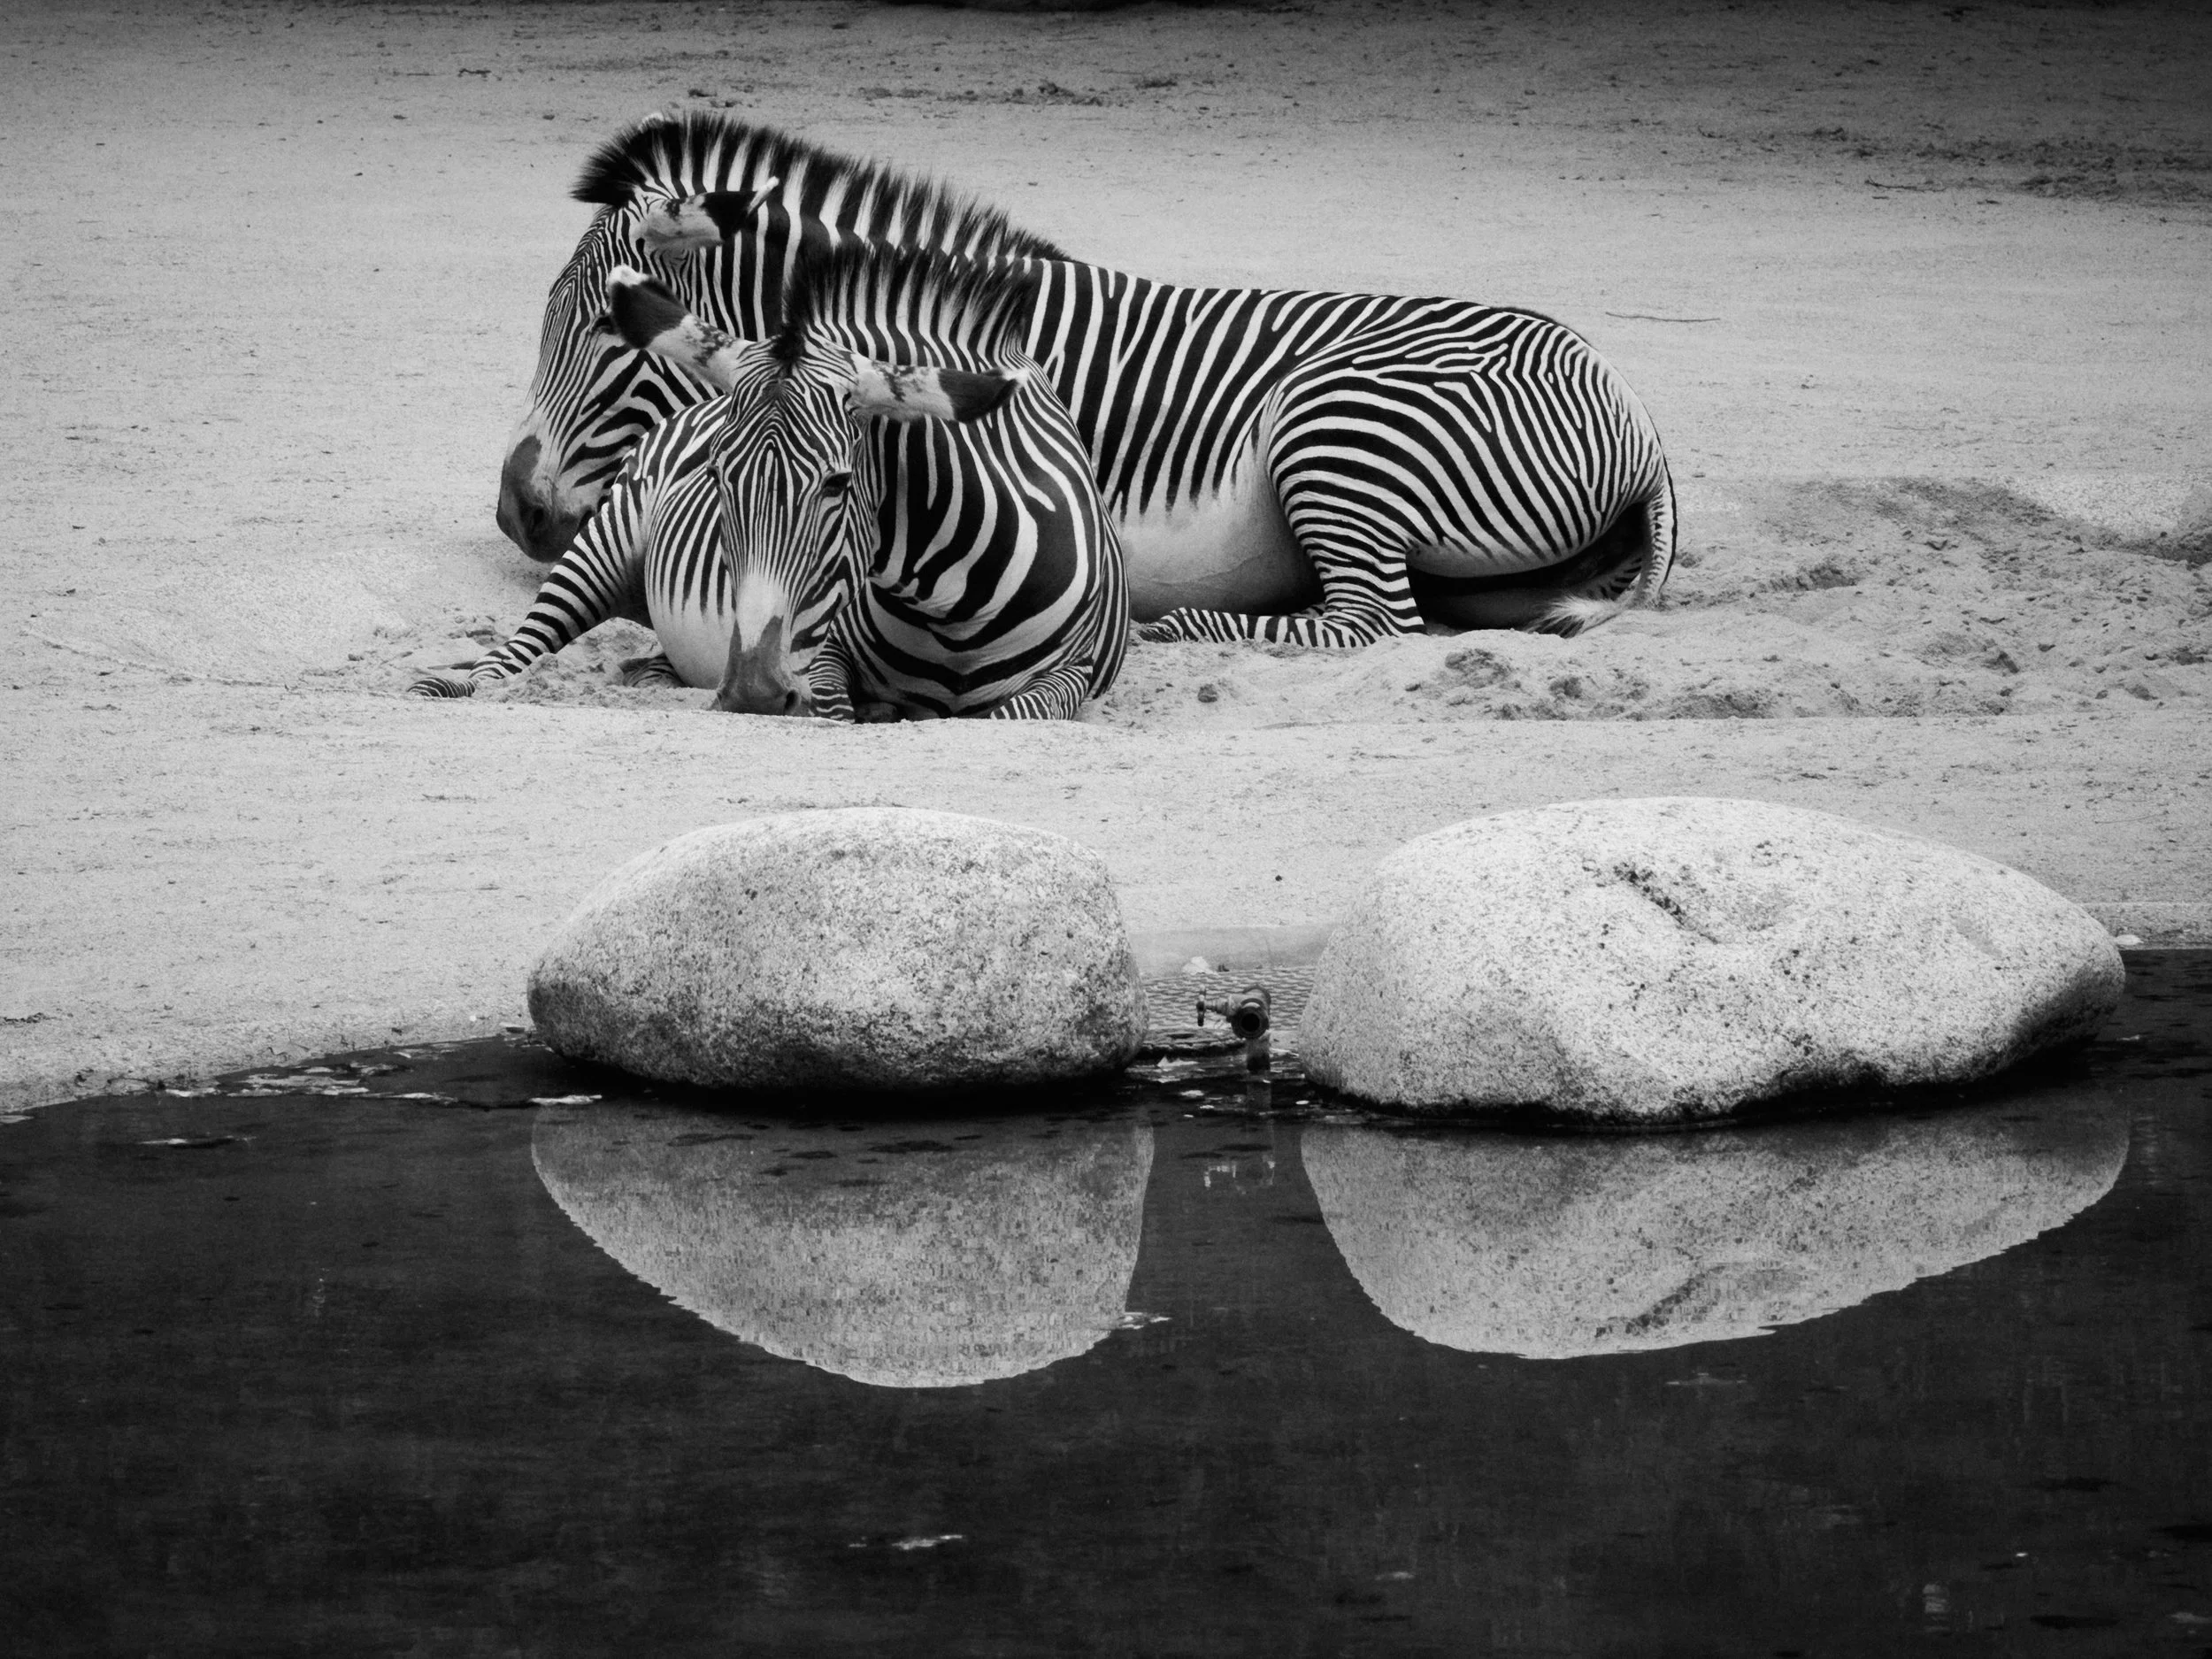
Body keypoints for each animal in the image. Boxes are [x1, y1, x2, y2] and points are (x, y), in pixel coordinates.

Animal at [415, 244, 1127, 721]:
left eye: (839, 484)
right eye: (715, 475)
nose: (752, 692)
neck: (951, 607)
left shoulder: (1075, 674)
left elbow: (1014, 712)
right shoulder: (828, 659)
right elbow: (835, 710)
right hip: (598, 549)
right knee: (511, 655)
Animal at [498, 113, 1678, 650]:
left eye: (601, 328)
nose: (514, 511)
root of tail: (1629, 405)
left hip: (1334, 424)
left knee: (1375, 622)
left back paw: (1185, 628)